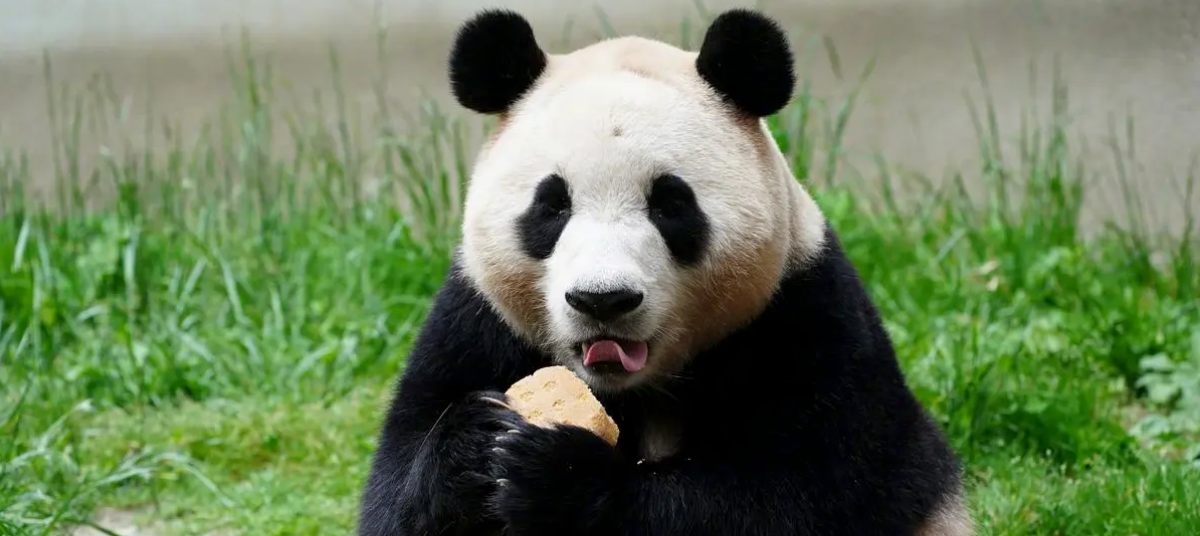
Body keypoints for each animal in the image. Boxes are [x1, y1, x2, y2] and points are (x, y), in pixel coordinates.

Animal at [357, 7, 972, 536]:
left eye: (670, 204)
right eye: (551, 206)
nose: (602, 300)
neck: (637, 388)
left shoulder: (806, 318)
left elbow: (790, 495)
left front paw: (563, 476)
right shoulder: (474, 322)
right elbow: (393, 490)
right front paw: (472, 444)